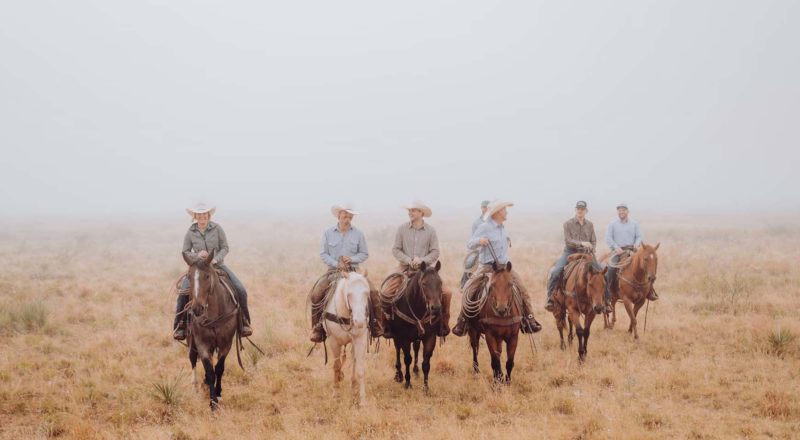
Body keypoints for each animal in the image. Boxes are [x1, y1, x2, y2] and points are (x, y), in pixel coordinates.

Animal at [182, 249, 239, 410]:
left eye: (207, 276)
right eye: (189, 276)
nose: (197, 308)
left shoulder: (226, 344)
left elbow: (219, 368)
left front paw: (218, 394)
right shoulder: (202, 344)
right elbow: (210, 369)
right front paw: (213, 403)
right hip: (191, 341)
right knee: (193, 359)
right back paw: (195, 385)